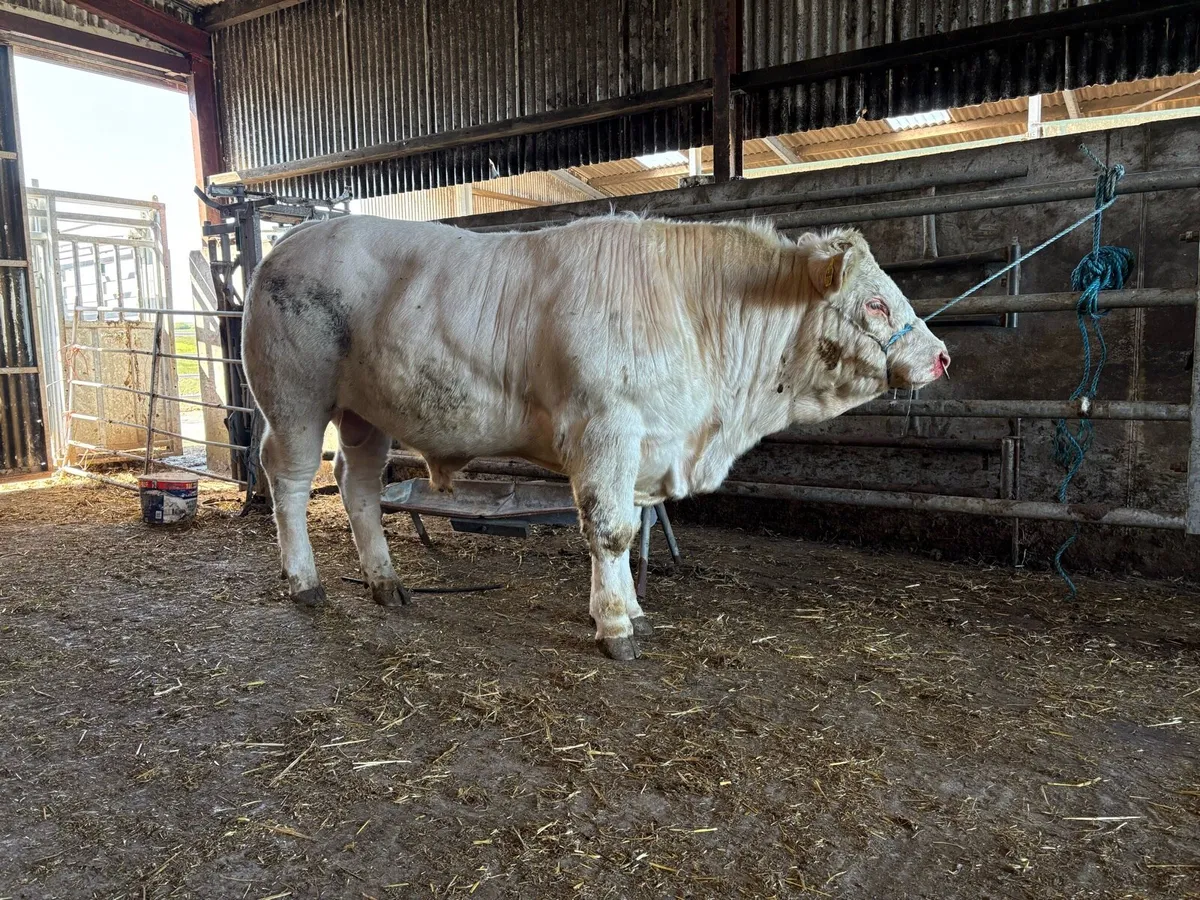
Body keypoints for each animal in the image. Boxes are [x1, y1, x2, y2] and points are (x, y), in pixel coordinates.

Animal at [241, 214, 950, 660]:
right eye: (876, 304)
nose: (941, 357)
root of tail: (295, 236)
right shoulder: (607, 429)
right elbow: (608, 532)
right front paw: (613, 627)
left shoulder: (643, 448)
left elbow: (629, 530)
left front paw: (631, 609)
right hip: (295, 399)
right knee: (291, 480)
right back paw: (305, 583)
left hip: (365, 415)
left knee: (358, 487)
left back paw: (387, 583)